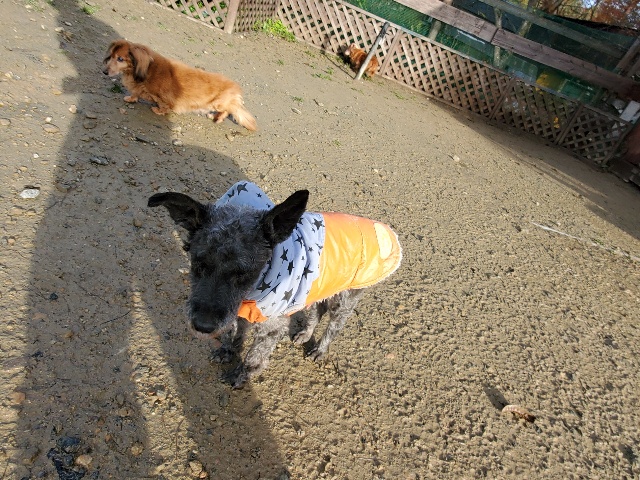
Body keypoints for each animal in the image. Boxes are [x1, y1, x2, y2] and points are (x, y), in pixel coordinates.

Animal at [103, 39, 257, 131]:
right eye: (111, 56)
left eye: (120, 59)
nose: (104, 72)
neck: (146, 69)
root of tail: (236, 87)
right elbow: (136, 93)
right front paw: (131, 98)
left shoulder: (162, 96)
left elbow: (164, 105)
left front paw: (158, 110)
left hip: (219, 104)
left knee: (230, 109)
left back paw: (218, 118)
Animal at [148, 182, 402, 388]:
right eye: (198, 262)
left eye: (246, 272)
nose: (203, 326)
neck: (255, 286)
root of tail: (384, 229)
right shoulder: (238, 312)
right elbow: (233, 333)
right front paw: (227, 351)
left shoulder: (270, 327)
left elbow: (253, 357)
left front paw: (240, 376)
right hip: (315, 288)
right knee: (316, 310)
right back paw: (304, 334)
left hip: (345, 299)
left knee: (334, 326)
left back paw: (320, 349)